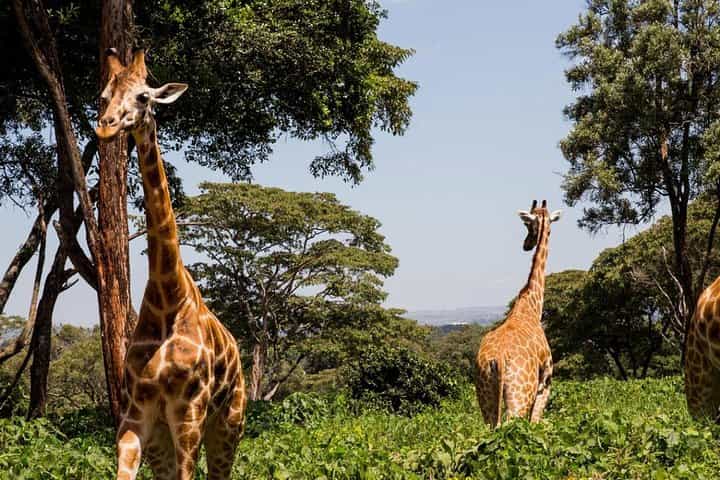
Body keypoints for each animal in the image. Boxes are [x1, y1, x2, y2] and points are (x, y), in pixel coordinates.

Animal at [95, 48, 246, 480]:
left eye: (144, 97)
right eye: (104, 96)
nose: (106, 127)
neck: (168, 298)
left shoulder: (189, 414)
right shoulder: (137, 415)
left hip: (229, 423)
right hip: (165, 436)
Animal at [474, 200, 561, 428]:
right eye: (527, 225)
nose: (526, 245)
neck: (531, 306)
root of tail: (497, 359)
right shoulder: (546, 381)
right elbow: (536, 422)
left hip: (485, 395)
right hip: (521, 396)